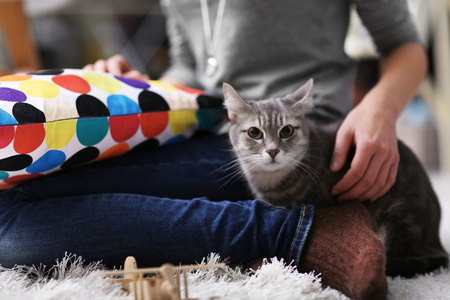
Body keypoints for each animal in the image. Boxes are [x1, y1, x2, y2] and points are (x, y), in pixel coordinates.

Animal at [223, 79, 448, 276]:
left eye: (286, 131)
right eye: (254, 133)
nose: (272, 151)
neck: (271, 183)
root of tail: (437, 242)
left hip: (395, 216)